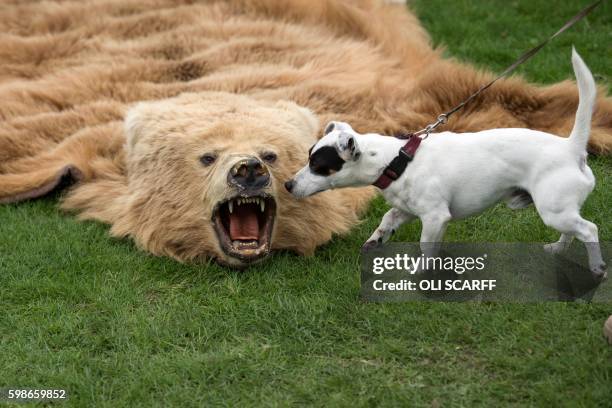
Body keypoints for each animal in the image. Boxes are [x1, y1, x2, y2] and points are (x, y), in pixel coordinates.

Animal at [286, 49, 608, 280]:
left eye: (319, 165)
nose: (288, 185)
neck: (398, 159)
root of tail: (571, 147)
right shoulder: (406, 210)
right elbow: (387, 220)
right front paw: (376, 240)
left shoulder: (435, 217)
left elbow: (426, 247)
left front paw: (419, 273)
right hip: (560, 211)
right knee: (574, 230)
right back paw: (557, 249)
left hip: (554, 210)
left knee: (589, 229)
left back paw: (597, 268)